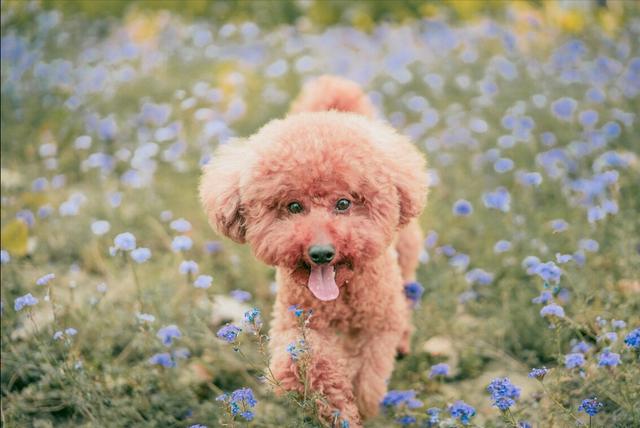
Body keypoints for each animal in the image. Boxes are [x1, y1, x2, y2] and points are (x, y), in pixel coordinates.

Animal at [200, 75, 430, 426]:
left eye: (344, 203)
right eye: (294, 206)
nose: (321, 253)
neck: (341, 293)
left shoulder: (377, 323)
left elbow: (366, 374)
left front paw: (360, 405)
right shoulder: (294, 321)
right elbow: (304, 361)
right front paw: (331, 402)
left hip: (404, 257)